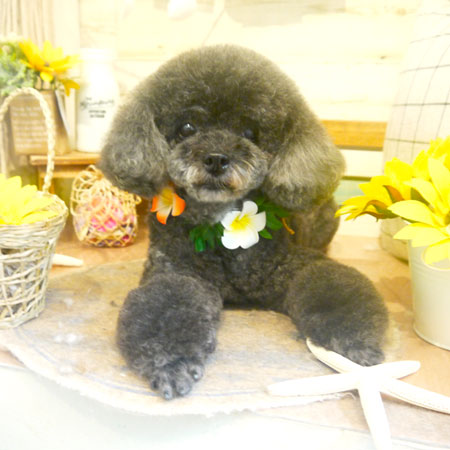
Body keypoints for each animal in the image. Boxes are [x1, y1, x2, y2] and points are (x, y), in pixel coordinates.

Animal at [99, 45, 389, 400]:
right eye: (187, 128)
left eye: (251, 133)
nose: (216, 158)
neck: (223, 231)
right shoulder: (177, 272)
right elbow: (167, 303)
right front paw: (171, 363)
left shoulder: (293, 266)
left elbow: (330, 284)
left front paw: (356, 344)